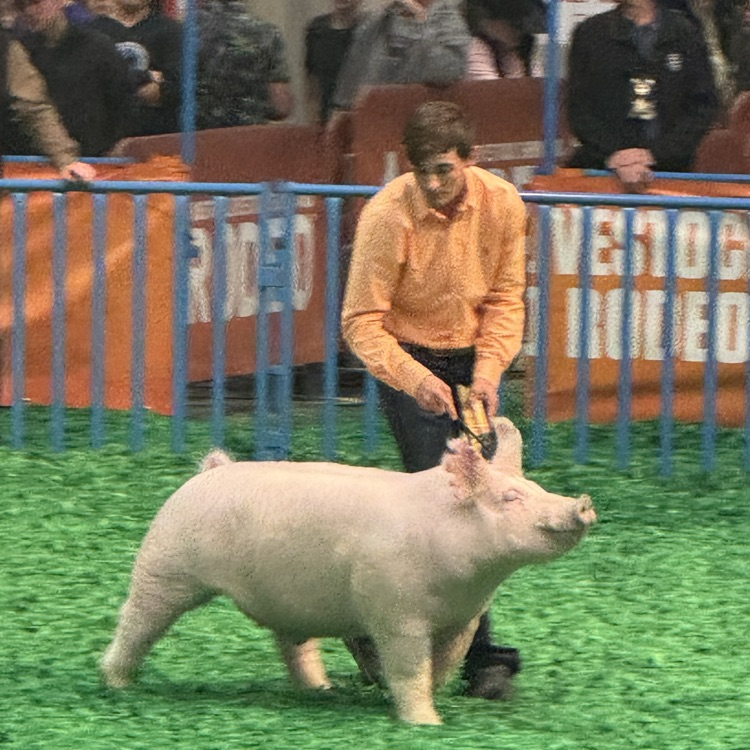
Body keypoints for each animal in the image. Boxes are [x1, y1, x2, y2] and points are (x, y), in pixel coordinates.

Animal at [101, 417, 595, 725]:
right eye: (511, 497)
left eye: (535, 486)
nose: (582, 503)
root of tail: (210, 470)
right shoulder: (395, 610)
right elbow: (408, 666)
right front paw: (426, 724)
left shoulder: (465, 617)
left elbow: (444, 662)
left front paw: (423, 697)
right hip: (164, 567)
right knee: (137, 622)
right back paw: (117, 683)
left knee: (292, 644)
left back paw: (321, 690)